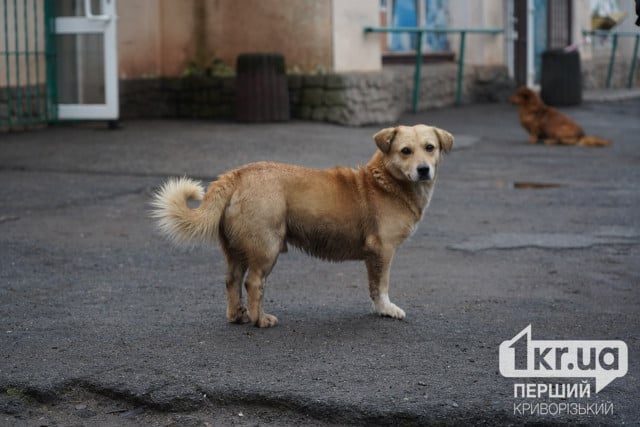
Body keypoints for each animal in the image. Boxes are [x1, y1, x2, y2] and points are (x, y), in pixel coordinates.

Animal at [151, 123, 452, 328]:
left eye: (430, 148)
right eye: (405, 151)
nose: (424, 170)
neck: (384, 182)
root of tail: (237, 174)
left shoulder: (373, 256)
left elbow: (373, 287)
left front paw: (380, 308)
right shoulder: (383, 250)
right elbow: (381, 285)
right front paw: (387, 309)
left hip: (236, 250)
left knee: (232, 281)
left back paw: (238, 316)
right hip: (267, 248)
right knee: (253, 283)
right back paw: (260, 319)